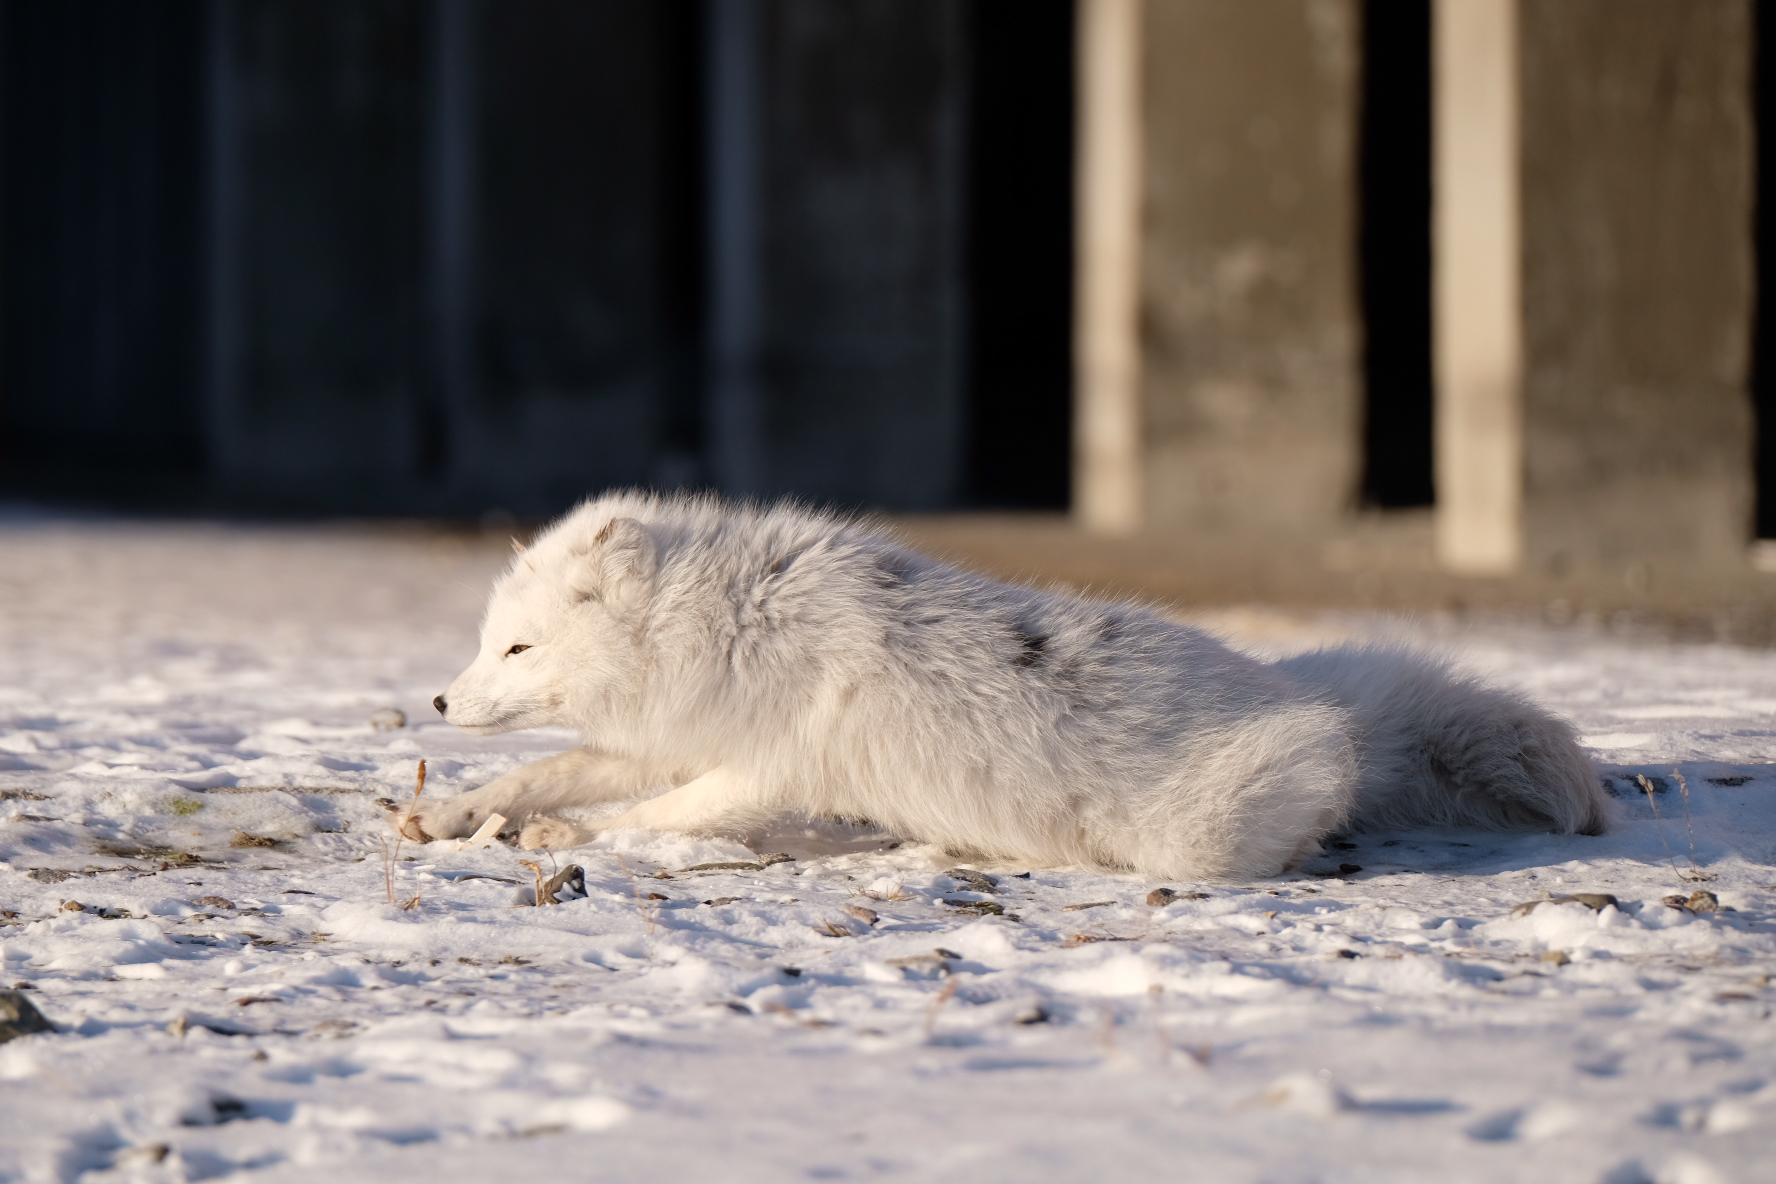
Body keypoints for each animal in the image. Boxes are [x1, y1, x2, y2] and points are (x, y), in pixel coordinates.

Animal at [403, 489, 1612, 880]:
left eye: (517, 652)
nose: (441, 705)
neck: (737, 621)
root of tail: (1325, 706)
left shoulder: (776, 762)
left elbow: (655, 813)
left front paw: (572, 843)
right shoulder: (675, 736)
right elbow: (554, 771)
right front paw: (451, 811)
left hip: (1205, 836)